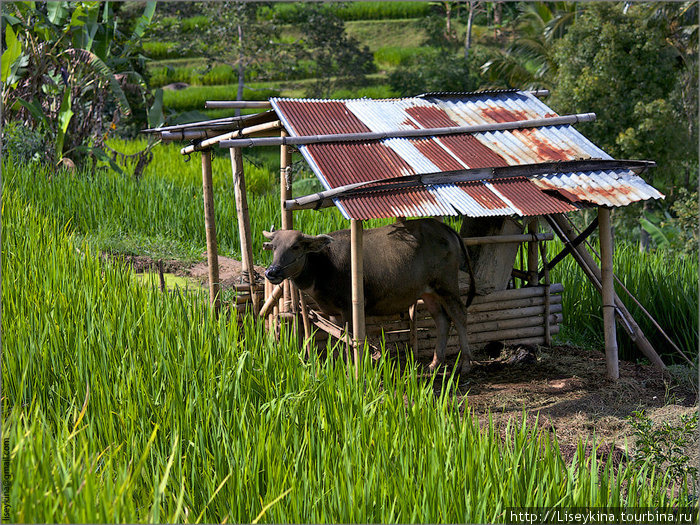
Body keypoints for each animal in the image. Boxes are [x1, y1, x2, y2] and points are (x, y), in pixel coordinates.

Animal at [262, 217, 476, 372]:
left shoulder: (350, 308)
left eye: (295, 246)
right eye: (274, 247)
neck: (324, 265)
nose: (272, 272)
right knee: (442, 320)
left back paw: (465, 363)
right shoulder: (334, 312)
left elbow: (351, 339)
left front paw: (352, 367)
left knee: (459, 315)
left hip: (447, 286)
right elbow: (339, 337)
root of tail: (446, 229)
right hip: (428, 291)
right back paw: (434, 364)